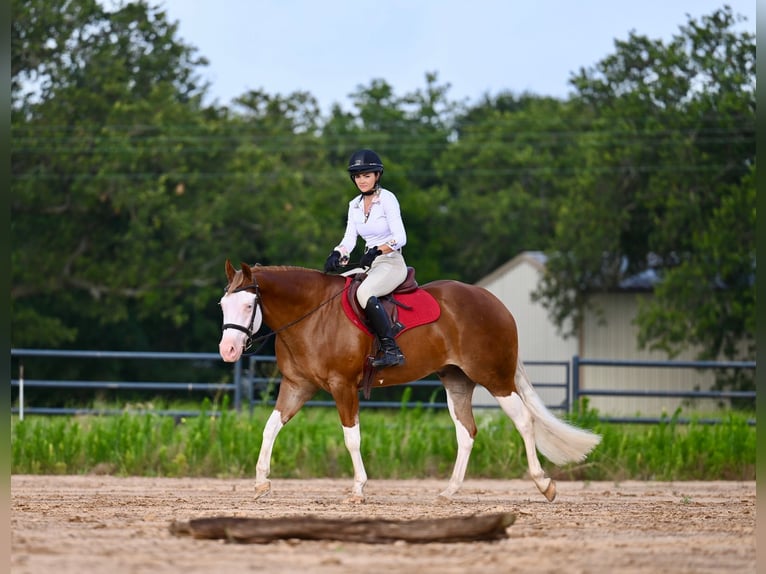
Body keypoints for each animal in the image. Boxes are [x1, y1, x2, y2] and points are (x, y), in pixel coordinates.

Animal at [219, 260, 604, 504]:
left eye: (249, 305)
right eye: (224, 304)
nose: (227, 350)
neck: (313, 314)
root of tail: (494, 302)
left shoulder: (343, 387)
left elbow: (351, 438)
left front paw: (358, 489)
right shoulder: (297, 386)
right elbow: (270, 428)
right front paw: (261, 482)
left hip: (495, 377)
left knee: (523, 420)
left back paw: (544, 484)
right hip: (457, 381)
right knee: (467, 432)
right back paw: (449, 492)